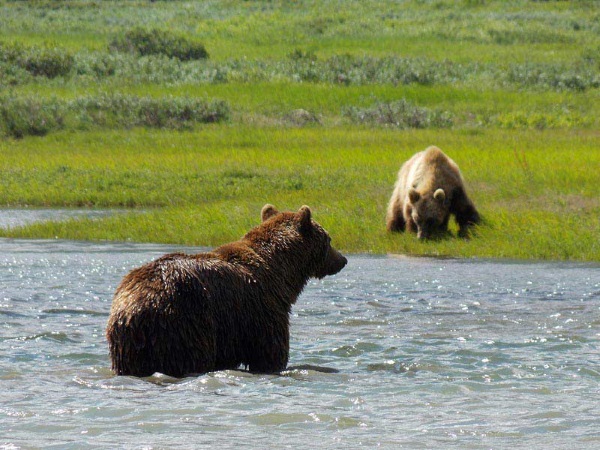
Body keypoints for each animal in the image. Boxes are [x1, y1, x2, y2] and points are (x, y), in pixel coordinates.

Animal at [105, 206, 344, 378]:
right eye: (329, 239)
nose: (342, 259)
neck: (283, 274)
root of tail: (135, 308)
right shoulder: (263, 313)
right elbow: (270, 355)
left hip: (128, 346)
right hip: (184, 324)